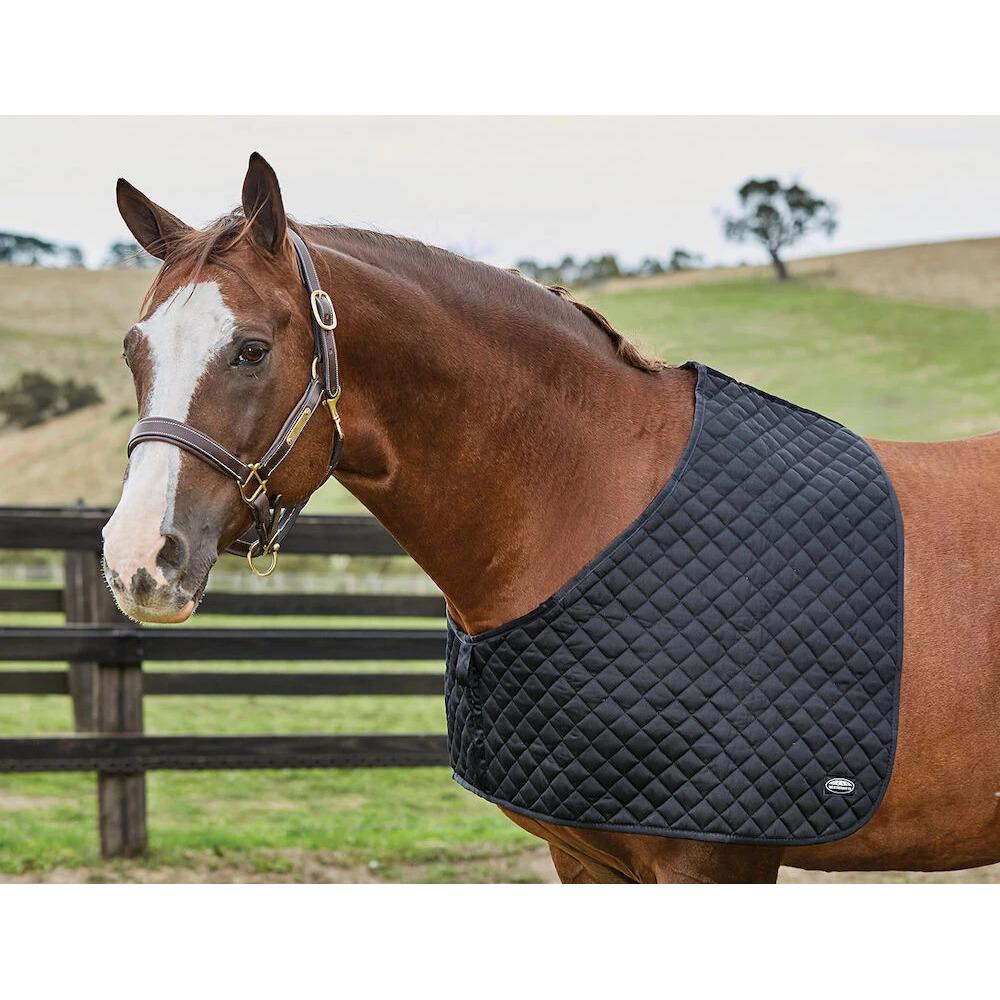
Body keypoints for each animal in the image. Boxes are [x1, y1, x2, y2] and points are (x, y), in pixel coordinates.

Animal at [102, 153, 1000, 883]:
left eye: (251, 349)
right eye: (133, 350)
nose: (137, 557)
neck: (593, 503)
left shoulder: (711, 861)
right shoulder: (586, 855)